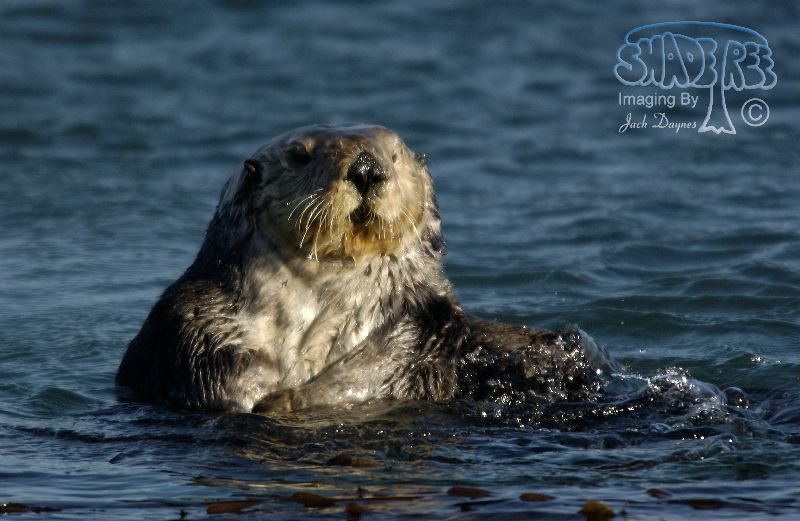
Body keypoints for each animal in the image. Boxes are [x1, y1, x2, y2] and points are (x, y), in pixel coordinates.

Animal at [117, 124, 605, 413]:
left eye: (395, 154)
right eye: (300, 155)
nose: (367, 167)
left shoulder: (424, 325)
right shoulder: (192, 318)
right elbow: (215, 368)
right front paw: (261, 391)